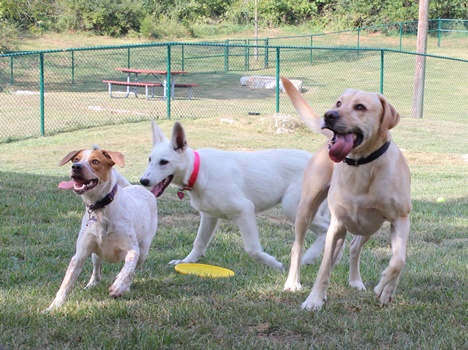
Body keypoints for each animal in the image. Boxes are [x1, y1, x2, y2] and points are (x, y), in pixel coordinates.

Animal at [46, 146, 159, 310]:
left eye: (95, 161)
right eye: (76, 159)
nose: (76, 167)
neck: (100, 210)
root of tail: (136, 187)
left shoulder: (133, 249)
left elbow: (128, 269)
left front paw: (119, 286)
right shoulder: (80, 254)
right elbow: (66, 284)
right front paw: (53, 307)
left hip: (144, 250)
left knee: (133, 270)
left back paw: (125, 287)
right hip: (95, 254)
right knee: (96, 272)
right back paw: (91, 285)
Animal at [139, 120, 330, 270]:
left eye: (164, 162)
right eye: (149, 159)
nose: (143, 181)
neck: (198, 171)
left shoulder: (244, 210)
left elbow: (252, 249)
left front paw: (275, 264)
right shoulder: (209, 217)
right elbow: (199, 243)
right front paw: (186, 261)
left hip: (293, 208)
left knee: (326, 227)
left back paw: (308, 257)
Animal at [280, 78, 412, 310]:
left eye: (360, 107)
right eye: (339, 102)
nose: (329, 115)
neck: (362, 166)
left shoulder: (401, 218)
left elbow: (398, 260)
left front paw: (385, 288)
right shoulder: (337, 224)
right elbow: (323, 268)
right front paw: (314, 300)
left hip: (369, 225)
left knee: (353, 248)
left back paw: (355, 281)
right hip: (307, 208)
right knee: (298, 247)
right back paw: (293, 282)